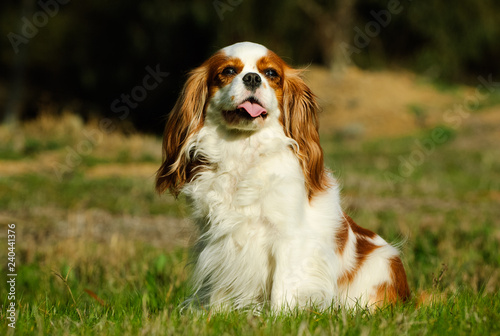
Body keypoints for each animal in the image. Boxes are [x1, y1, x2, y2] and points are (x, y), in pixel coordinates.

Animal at [156, 41, 410, 310]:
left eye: (270, 73)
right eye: (228, 71)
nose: (252, 78)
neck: (243, 150)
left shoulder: (289, 238)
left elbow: (283, 286)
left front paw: (278, 316)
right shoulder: (218, 237)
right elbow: (219, 287)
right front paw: (216, 314)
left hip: (382, 264)